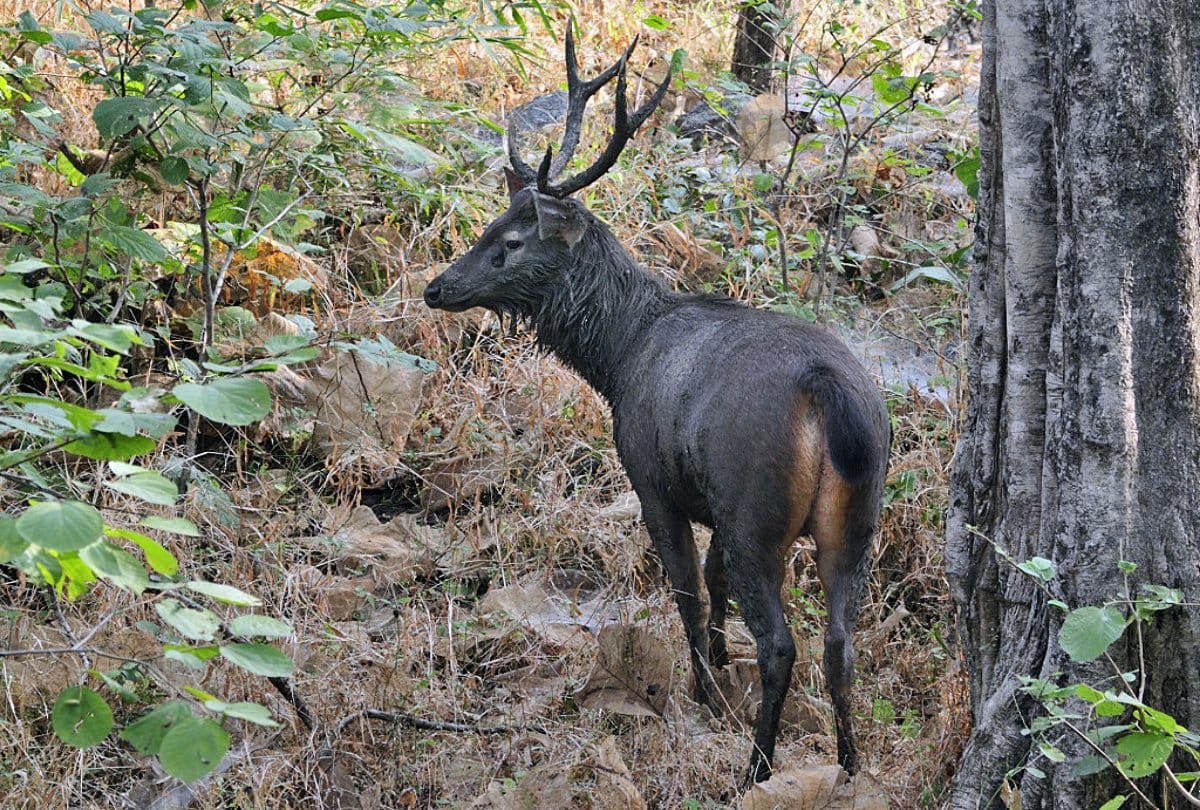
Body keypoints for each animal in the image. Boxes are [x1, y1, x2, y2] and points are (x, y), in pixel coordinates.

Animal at [423, 26, 890, 787]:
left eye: (512, 242)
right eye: (490, 223)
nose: (437, 287)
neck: (618, 357)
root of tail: (830, 393)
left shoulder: (652, 479)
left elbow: (688, 589)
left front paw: (702, 691)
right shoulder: (714, 508)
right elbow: (713, 582)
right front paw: (718, 668)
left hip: (757, 508)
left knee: (783, 645)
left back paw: (756, 768)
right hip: (857, 518)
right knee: (841, 643)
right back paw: (849, 766)